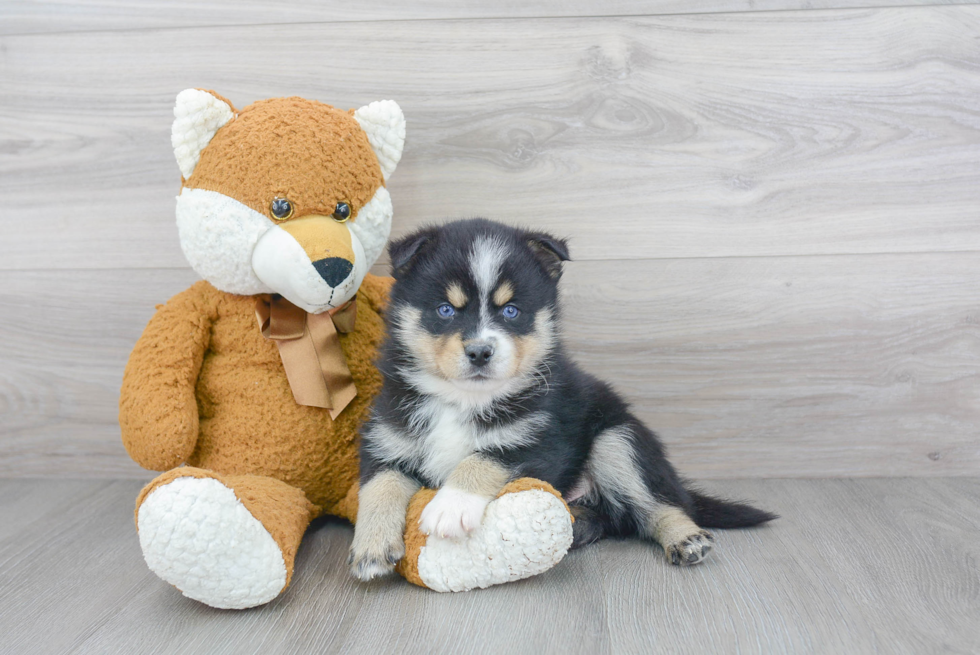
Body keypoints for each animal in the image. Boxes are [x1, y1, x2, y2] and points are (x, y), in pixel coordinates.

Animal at [350, 219, 772, 580]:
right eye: (444, 310)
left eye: (512, 311)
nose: (480, 352)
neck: (462, 401)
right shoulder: (388, 439)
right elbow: (378, 487)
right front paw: (370, 547)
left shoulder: (541, 439)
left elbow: (480, 458)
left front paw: (450, 506)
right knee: (618, 517)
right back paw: (579, 523)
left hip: (617, 439)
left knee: (660, 503)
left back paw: (686, 538)